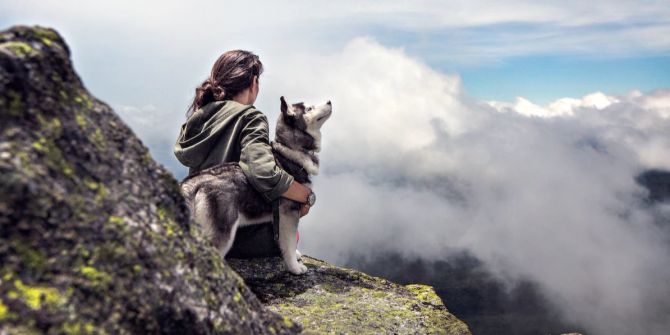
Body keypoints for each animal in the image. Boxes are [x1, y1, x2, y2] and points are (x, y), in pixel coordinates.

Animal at [181, 97, 334, 276]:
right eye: (309, 108)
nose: (329, 101)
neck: (290, 150)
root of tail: (196, 180)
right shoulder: (288, 213)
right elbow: (289, 243)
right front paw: (294, 267)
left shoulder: (279, 218)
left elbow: (285, 243)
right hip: (222, 231)